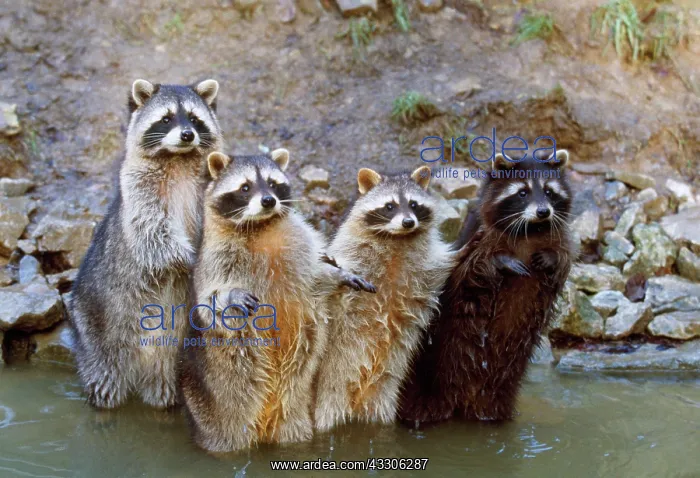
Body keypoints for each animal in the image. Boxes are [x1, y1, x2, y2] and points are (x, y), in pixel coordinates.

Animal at [69, 79, 222, 409]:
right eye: (166, 118)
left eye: (194, 119)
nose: (187, 134)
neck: (177, 157)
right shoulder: (137, 188)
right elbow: (152, 231)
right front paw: (190, 259)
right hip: (95, 328)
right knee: (104, 373)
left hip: (175, 354)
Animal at [179, 149, 375, 453]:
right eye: (245, 187)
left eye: (272, 183)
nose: (269, 200)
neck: (263, 227)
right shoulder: (212, 257)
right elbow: (209, 300)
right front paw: (229, 296)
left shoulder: (301, 245)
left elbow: (317, 275)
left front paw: (338, 273)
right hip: (213, 405)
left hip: (293, 411)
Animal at [313, 166, 455, 432]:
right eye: (390, 206)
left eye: (413, 204)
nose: (408, 222)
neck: (396, 239)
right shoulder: (351, 251)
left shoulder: (426, 266)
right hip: (331, 390)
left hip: (383, 396)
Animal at [398, 150, 575, 423]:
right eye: (522, 192)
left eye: (549, 191)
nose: (544, 211)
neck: (530, 230)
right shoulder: (478, 236)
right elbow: (468, 269)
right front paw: (500, 261)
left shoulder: (556, 235)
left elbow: (563, 258)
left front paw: (552, 258)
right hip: (428, 374)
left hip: (499, 389)